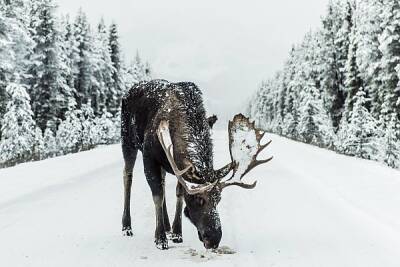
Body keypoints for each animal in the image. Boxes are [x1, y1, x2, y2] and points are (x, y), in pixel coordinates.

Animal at [121, 80, 272, 251]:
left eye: (219, 199)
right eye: (199, 200)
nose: (214, 239)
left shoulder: (177, 166)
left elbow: (179, 193)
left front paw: (177, 233)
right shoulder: (149, 156)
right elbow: (157, 196)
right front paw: (160, 239)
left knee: (163, 181)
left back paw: (167, 226)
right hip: (128, 141)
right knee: (128, 176)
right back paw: (127, 227)